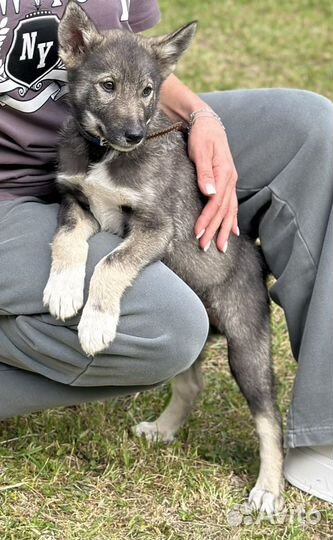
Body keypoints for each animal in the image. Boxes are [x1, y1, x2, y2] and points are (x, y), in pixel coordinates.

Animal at [42, 1, 282, 516]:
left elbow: (111, 264)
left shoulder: (155, 228)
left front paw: (96, 323)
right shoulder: (78, 204)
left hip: (246, 344)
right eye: (107, 85)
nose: (134, 135)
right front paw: (63, 290)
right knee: (191, 385)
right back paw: (164, 430)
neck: (103, 153)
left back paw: (268, 491)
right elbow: (67, 241)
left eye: (148, 90)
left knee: (271, 419)